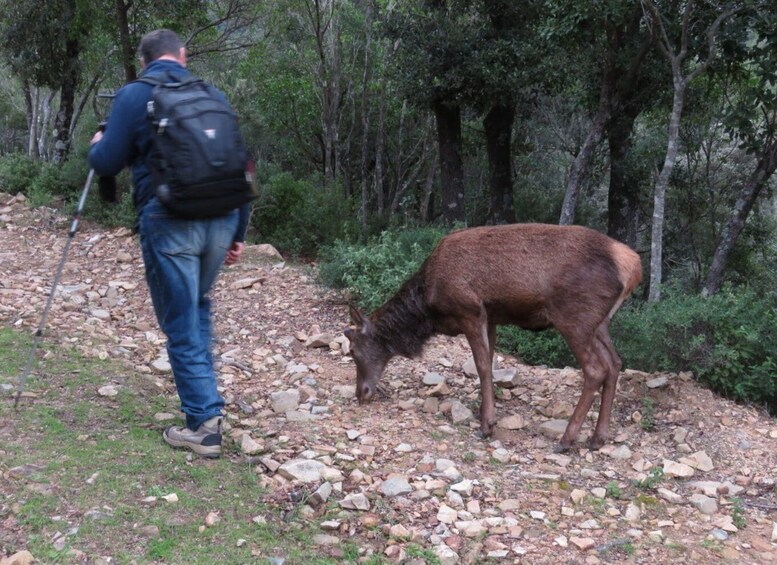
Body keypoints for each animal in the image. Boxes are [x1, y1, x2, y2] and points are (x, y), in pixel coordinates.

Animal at [346, 223, 644, 452]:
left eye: (353, 351)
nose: (361, 393)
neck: (428, 307)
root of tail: (633, 265)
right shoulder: (491, 317)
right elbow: (489, 362)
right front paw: (485, 414)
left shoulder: (469, 310)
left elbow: (482, 366)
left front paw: (486, 424)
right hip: (600, 323)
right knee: (615, 362)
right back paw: (598, 437)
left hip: (575, 317)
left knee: (596, 369)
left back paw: (567, 439)